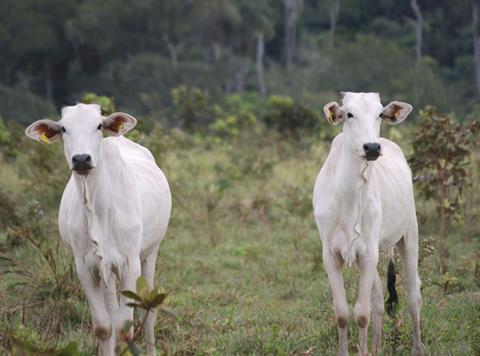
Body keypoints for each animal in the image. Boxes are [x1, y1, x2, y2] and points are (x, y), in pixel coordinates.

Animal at [24, 103, 171, 356]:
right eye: (64, 128)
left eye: (99, 125)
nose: (82, 158)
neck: (97, 209)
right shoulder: (85, 267)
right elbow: (104, 327)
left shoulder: (130, 263)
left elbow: (124, 329)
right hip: (107, 271)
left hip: (150, 253)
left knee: (149, 310)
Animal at [316, 92, 424, 356]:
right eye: (349, 114)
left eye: (379, 114)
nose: (372, 147)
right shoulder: (330, 255)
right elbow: (342, 313)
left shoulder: (368, 252)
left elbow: (362, 314)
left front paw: (362, 350)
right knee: (378, 302)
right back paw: (375, 347)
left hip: (409, 235)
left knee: (413, 296)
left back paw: (417, 347)